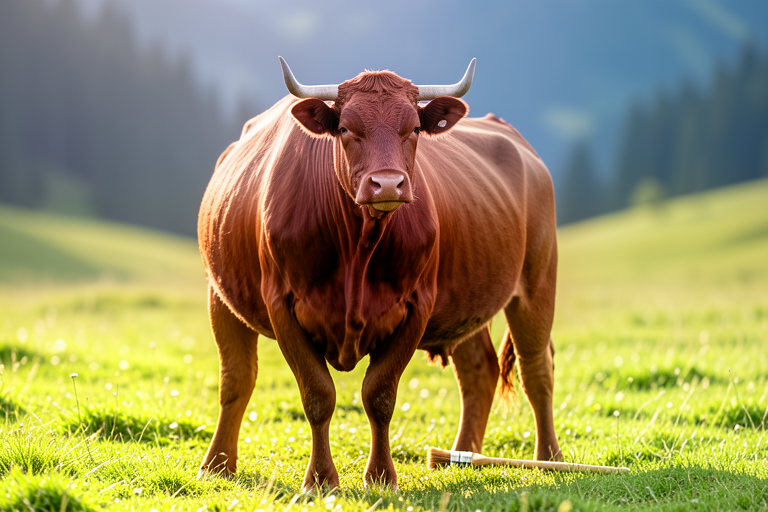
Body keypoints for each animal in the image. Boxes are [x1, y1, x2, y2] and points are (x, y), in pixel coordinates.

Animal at [197, 57, 562, 491]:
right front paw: (320, 479)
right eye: (345, 129)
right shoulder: (281, 303)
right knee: (236, 377)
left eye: (414, 129)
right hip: (221, 296)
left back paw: (550, 460)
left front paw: (381, 476)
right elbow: (317, 394)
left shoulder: (417, 305)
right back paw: (217, 465)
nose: (387, 183)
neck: (358, 247)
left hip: (536, 282)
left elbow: (379, 394)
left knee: (535, 369)